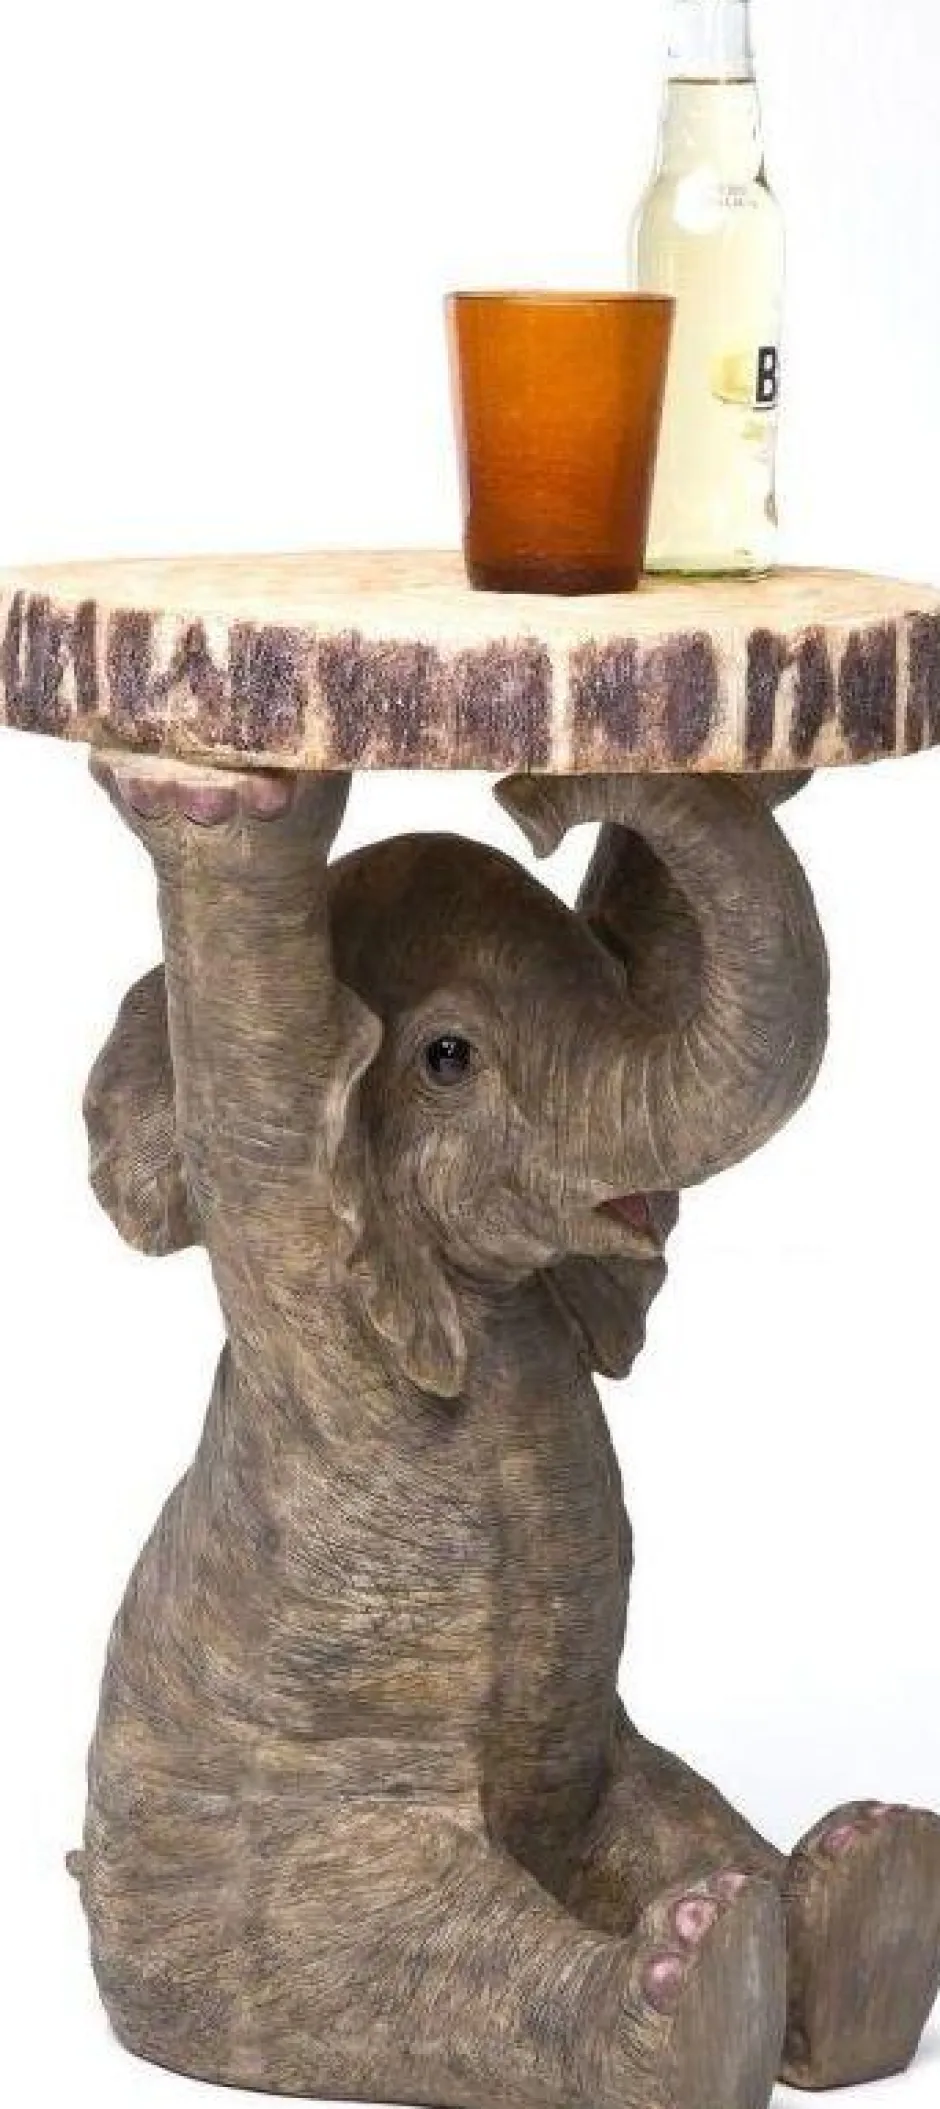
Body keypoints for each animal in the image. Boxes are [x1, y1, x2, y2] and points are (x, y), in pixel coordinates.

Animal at [69, 751, 940, 2109]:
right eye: (445, 1057)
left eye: (611, 982)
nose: (536, 799)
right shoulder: (308, 1257)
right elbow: (264, 1106)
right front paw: (225, 795)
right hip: (266, 1899)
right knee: (421, 1958)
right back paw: (702, 1977)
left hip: (603, 1777)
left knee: (676, 1822)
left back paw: (856, 1889)